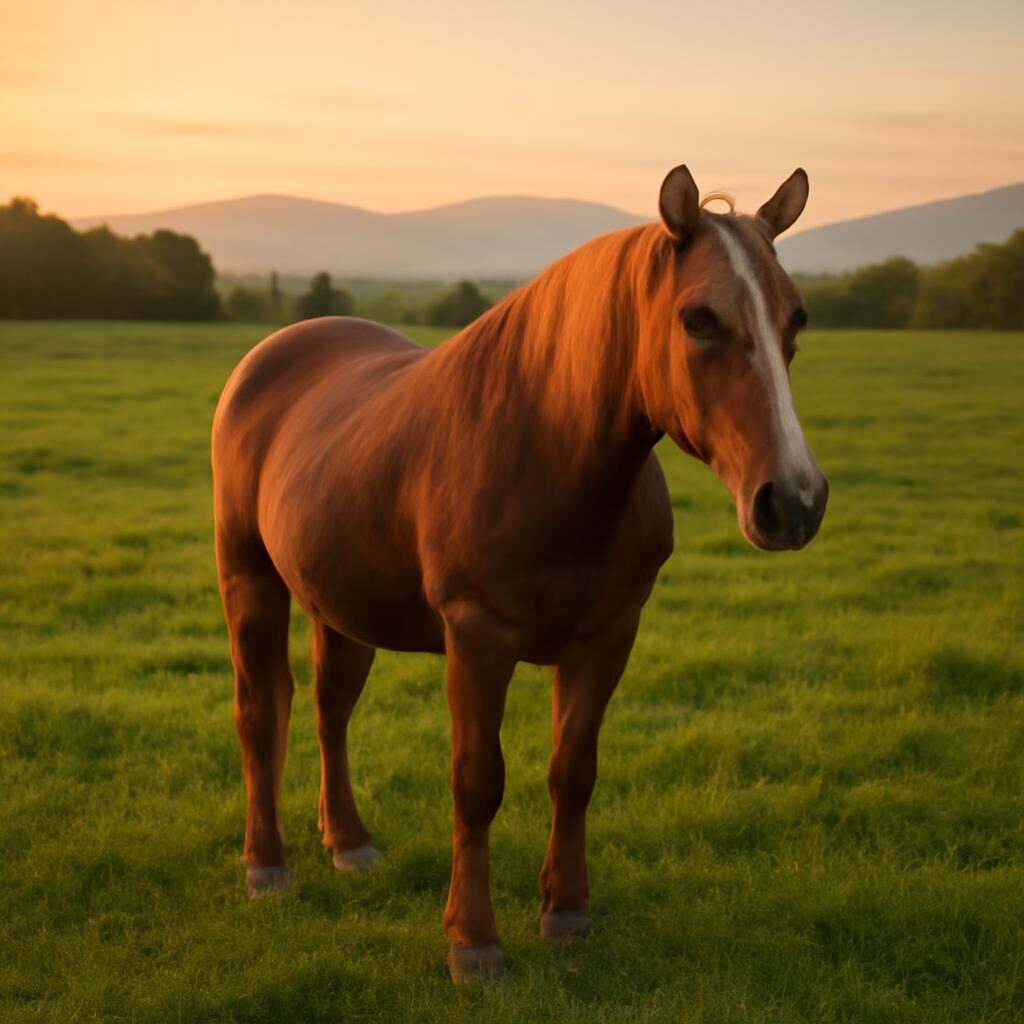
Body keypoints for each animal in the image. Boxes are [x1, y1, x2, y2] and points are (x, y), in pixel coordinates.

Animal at [211, 164, 828, 982]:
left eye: (796, 322)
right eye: (699, 320)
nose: (794, 500)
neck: (547, 451)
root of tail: (273, 353)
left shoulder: (608, 639)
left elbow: (574, 771)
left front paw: (565, 910)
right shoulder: (478, 640)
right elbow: (477, 783)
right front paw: (473, 941)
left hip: (339, 603)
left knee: (329, 708)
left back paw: (349, 842)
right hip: (247, 579)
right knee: (260, 712)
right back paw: (266, 865)